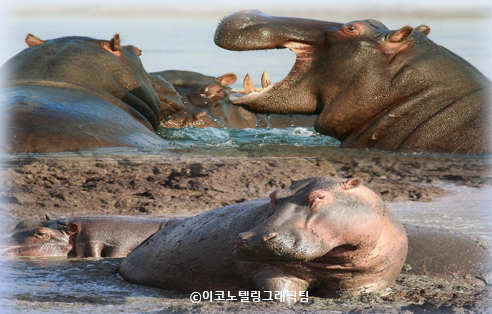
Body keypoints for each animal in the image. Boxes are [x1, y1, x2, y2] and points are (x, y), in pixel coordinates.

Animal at [119, 177, 408, 302]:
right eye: (274, 195)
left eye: (319, 197)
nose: (254, 238)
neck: (332, 260)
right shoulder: (270, 269)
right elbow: (280, 294)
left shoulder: (367, 280)